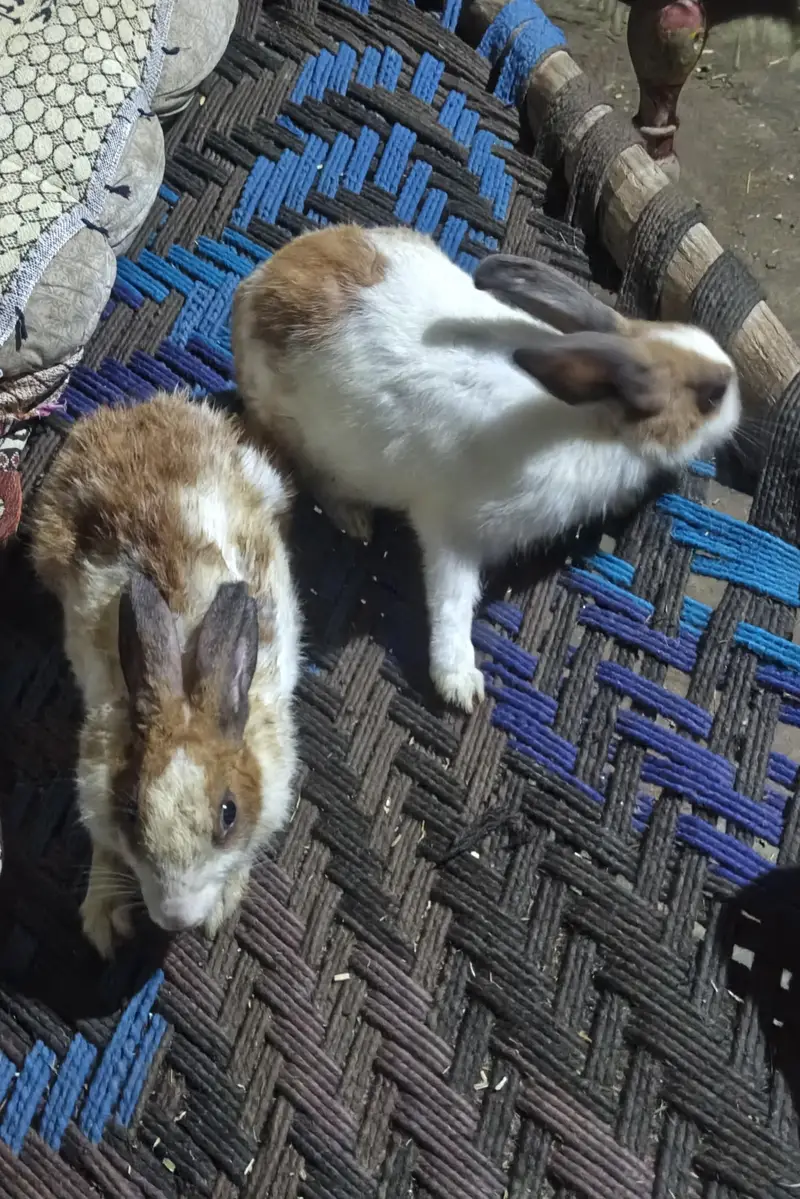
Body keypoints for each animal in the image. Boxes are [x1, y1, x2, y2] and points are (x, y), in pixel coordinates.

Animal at [30, 389, 300, 958]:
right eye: (131, 812)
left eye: (228, 813)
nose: (178, 918)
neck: (186, 686)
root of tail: (149, 409)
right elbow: (105, 849)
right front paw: (104, 920)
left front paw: (221, 908)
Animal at [232, 225, 741, 714]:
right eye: (711, 396)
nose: (737, 402)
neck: (592, 418)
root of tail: (251, 290)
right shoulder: (452, 528)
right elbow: (452, 601)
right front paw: (461, 684)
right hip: (303, 436)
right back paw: (354, 520)